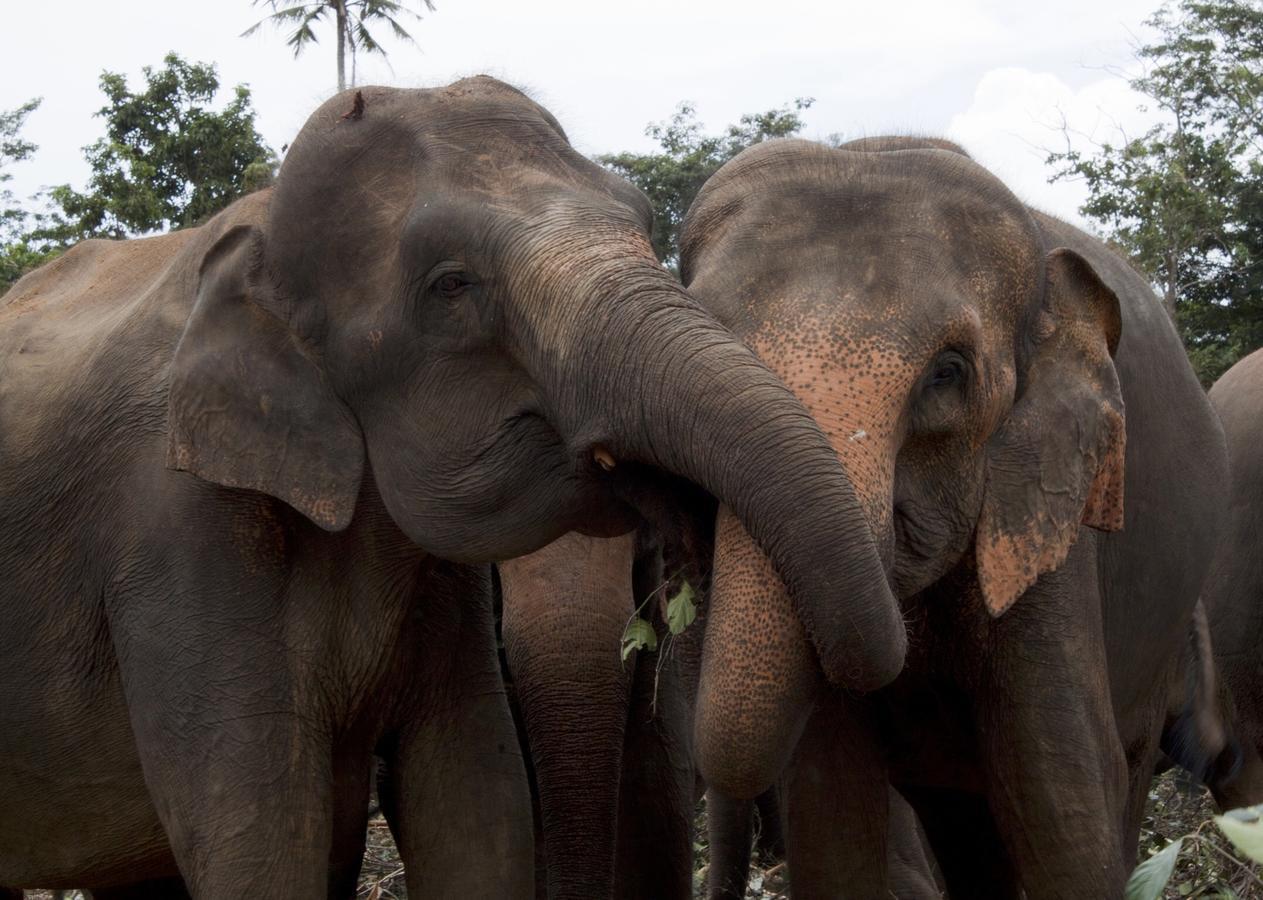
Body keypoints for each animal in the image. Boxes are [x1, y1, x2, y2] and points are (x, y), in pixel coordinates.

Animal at [0, 78, 914, 898]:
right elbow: (256, 833)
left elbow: (474, 798)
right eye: (451, 285)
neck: (257, 229)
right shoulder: (176, 533)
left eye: (642, 219)